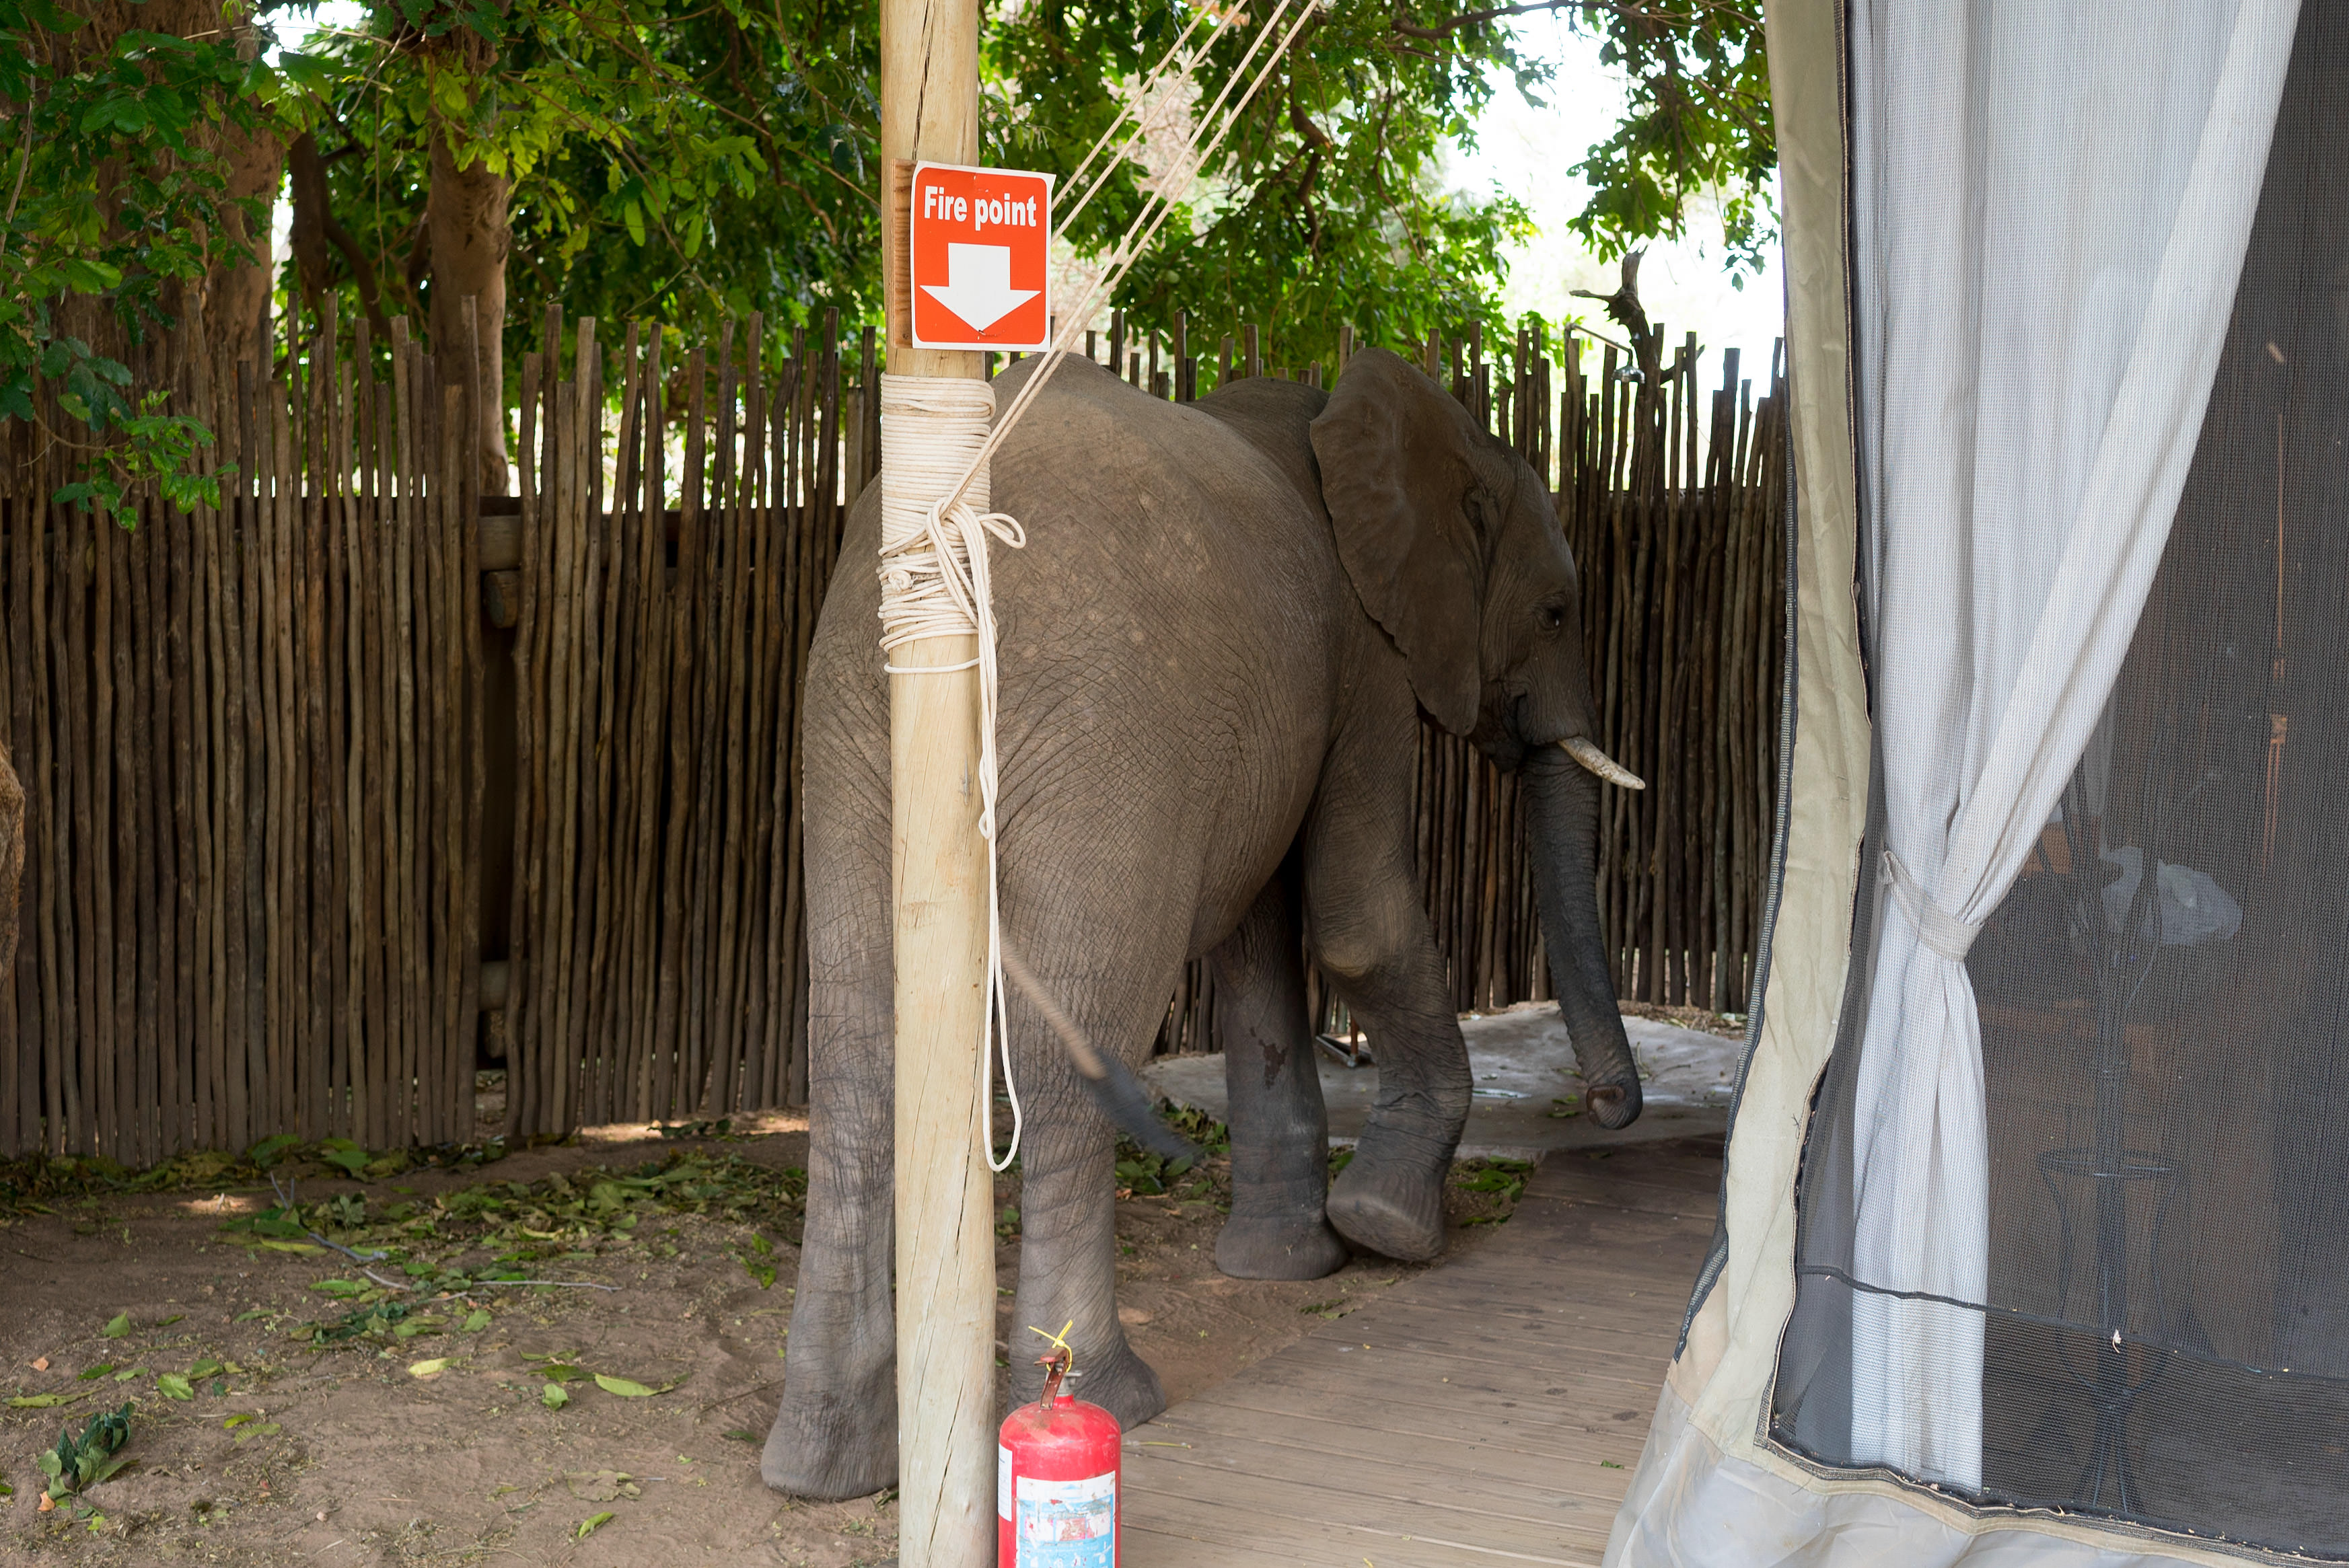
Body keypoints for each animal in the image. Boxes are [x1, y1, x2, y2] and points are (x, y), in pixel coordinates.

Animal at [761, 342, 1644, 1493]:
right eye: (1554, 612)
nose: (1606, 1105)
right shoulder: (1362, 659)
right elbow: (1356, 914)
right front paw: (1388, 1227)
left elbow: (1256, 943)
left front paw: (1288, 1260)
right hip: (1101, 732)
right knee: (1064, 1051)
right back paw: (1106, 1396)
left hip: (852, 728)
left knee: (858, 1049)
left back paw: (819, 1465)